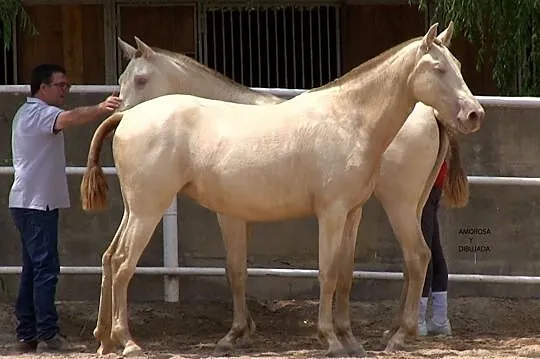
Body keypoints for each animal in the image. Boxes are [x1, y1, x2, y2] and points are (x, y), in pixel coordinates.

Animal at [82, 23, 484, 358]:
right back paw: (125, 342)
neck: (350, 119)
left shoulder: (348, 212)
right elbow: (324, 273)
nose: (474, 114)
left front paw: (346, 340)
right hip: (145, 210)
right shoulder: (329, 213)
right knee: (120, 262)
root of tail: (128, 118)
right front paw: (331, 340)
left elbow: (341, 274)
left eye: (456, 65)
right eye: (439, 69)